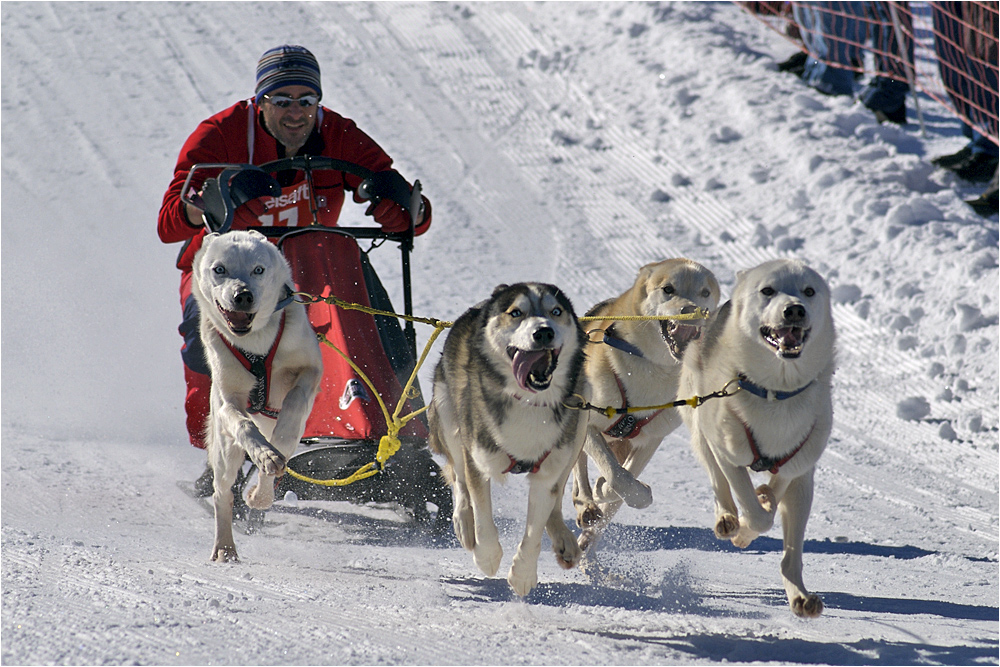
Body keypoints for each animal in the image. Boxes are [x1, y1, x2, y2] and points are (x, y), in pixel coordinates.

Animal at [190, 231, 320, 564]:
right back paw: (225, 546)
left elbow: (292, 412)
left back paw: (260, 493)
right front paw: (264, 453)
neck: (256, 343)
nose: (243, 295)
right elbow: (244, 425)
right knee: (223, 492)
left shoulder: (310, 371)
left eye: (258, 270)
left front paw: (274, 452)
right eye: (219, 269)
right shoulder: (228, 398)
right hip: (225, 453)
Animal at [572, 260, 720, 552]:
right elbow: (615, 475)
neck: (655, 370)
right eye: (668, 289)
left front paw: (606, 490)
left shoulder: (650, 440)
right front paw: (601, 492)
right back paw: (585, 505)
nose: (691, 310)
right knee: (577, 471)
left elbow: (621, 484)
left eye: (705, 292)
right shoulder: (589, 424)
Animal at [680, 258, 836, 620]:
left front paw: (799, 594)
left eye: (809, 291)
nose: (794, 310)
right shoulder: (727, 452)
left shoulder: (801, 472)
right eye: (768, 290)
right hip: (700, 428)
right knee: (717, 482)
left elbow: (790, 545)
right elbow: (755, 514)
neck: (776, 393)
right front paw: (743, 530)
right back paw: (727, 519)